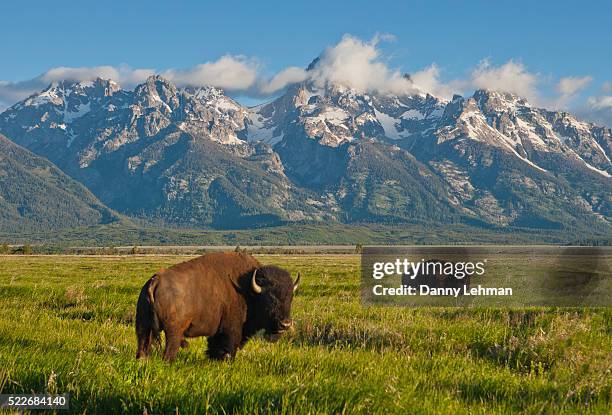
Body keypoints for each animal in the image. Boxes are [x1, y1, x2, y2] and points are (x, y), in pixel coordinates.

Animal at [135, 252, 300, 362]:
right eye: (270, 298)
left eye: (290, 298)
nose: (285, 324)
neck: (248, 289)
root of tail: (155, 280)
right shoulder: (232, 329)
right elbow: (230, 347)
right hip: (173, 331)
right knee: (169, 351)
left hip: (143, 327)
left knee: (142, 347)